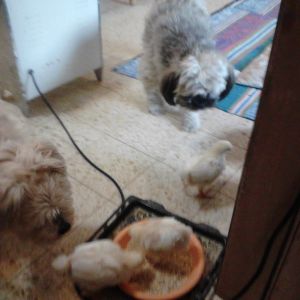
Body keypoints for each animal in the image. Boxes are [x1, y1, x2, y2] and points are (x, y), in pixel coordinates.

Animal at [139, 0, 236, 132]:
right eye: (190, 93)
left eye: (214, 91)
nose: (203, 102)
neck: (195, 48)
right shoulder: (153, 65)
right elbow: (151, 88)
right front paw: (155, 105)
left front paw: (191, 120)